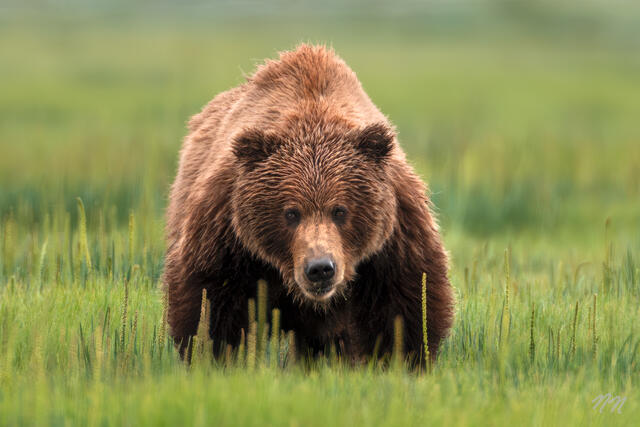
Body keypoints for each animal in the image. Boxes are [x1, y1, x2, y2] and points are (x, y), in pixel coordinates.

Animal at [164, 44, 455, 364]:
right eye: (291, 213)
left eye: (340, 210)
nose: (320, 268)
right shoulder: (229, 234)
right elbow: (213, 308)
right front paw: (217, 358)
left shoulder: (393, 240)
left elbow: (404, 312)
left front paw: (397, 362)